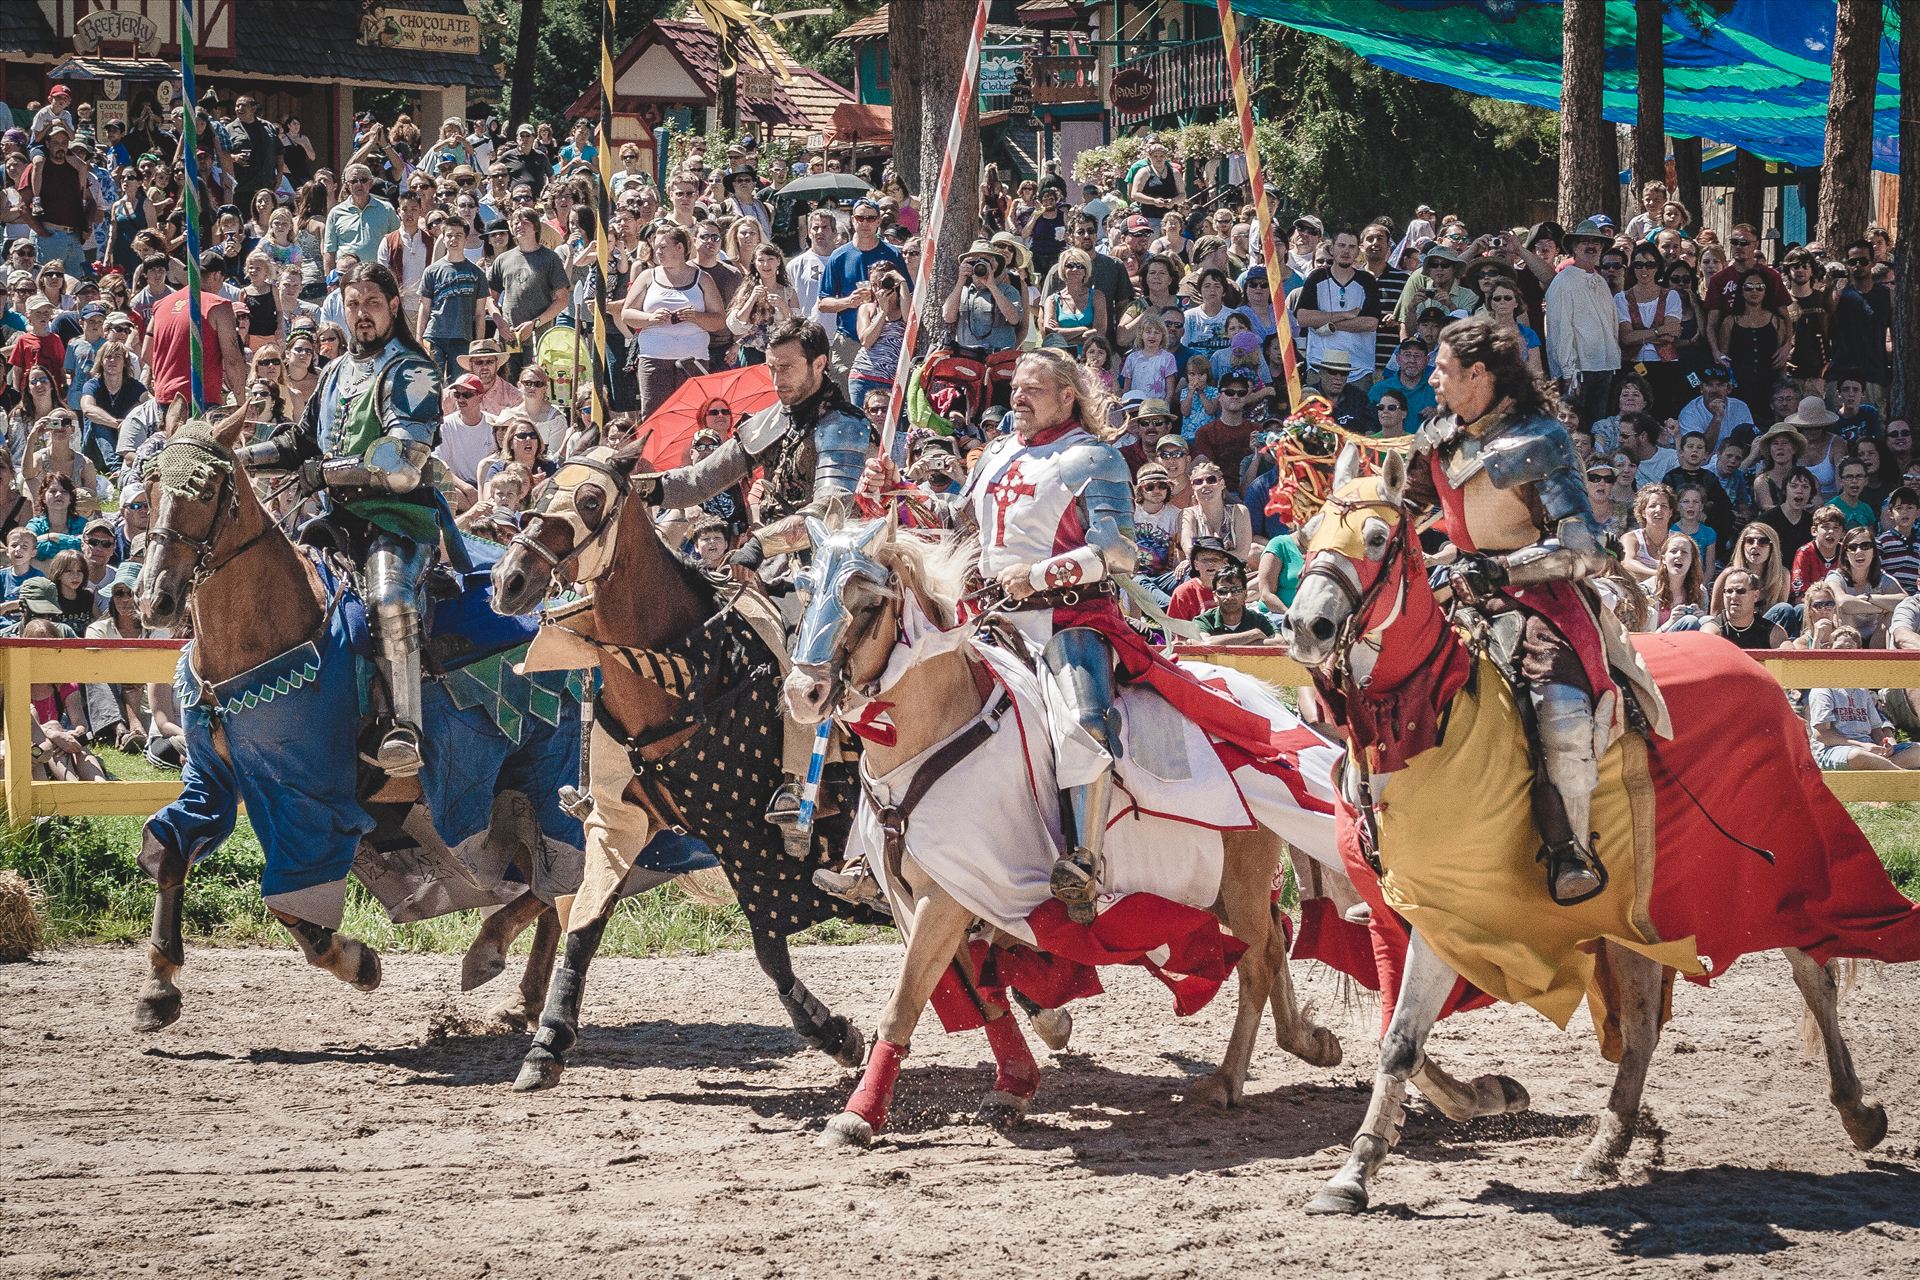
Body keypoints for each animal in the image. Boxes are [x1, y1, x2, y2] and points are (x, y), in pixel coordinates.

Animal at [132, 426, 579, 1036]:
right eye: (149, 490)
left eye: (204, 492)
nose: (156, 600)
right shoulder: (212, 779)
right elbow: (174, 849)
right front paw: (158, 987)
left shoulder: (308, 799)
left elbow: (289, 898)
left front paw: (357, 961)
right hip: (515, 789)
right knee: (552, 886)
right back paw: (524, 998)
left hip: (551, 773)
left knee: (562, 877)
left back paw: (491, 951)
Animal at [487, 443, 879, 1090]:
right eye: (541, 492)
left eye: (590, 501)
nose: (509, 580)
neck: (673, 668)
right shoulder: (618, 824)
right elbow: (584, 927)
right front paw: (547, 1043)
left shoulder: (746, 840)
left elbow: (770, 947)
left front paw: (834, 1033)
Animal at [779, 514, 1382, 1143]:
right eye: (804, 590)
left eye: (867, 602)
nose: (803, 693)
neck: (939, 730)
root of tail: (1266, 703)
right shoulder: (929, 894)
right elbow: (980, 994)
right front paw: (1015, 1081)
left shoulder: (948, 895)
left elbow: (906, 1000)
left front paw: (858, 1115)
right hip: (1220, 885)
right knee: (1274, 939)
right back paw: (1307, 1042)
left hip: (1237, 878)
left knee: (1258, 959)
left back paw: (1226, 1079)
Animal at [1274, 449, 1920, 1212]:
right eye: (1307, 533)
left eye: (1376, 539)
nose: (1306, 627)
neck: (1437, 719)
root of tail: (1759, 675)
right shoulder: (1404, 918)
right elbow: (1402, 1039)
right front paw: (1408, 1139)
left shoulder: (1451, 917)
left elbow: (1402, 1041)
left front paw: (1372, 1159)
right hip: (1637, 910)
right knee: (1640, 1024)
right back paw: (1607, 1143)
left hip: (1771, 876)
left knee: (1812, 975)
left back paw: (1859, 1112)